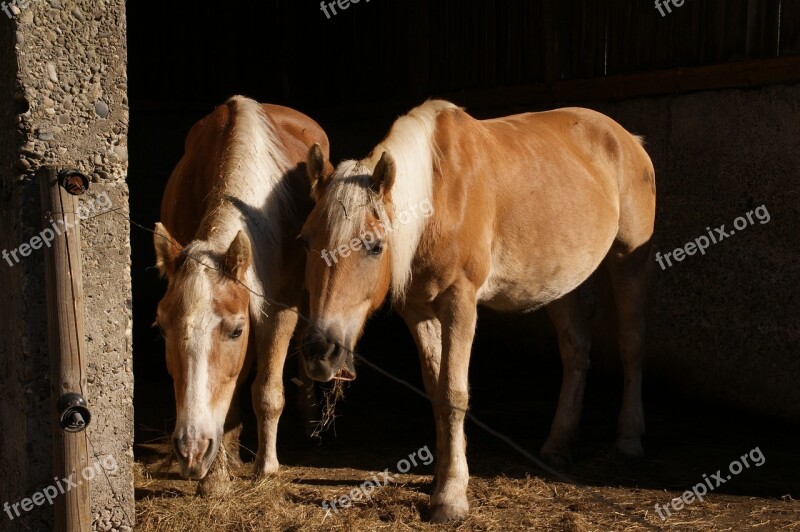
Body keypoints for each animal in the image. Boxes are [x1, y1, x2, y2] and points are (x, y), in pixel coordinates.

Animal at [153, 95, 332, 494]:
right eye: (163, 330)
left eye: (235, 331)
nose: (191, 449)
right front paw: (216, 476)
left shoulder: (279, 311)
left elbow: (267, 392)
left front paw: (267, 467)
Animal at [300, 101, 656, 524]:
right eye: (305, 241)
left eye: (373, 245)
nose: (321, 351)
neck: (435, 199)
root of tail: (627, 139)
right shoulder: (418, 310)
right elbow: (435, 389)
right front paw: (440, 476)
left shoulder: (460, 302)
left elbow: (454, 392)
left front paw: (451, 496)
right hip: (561, 282)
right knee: (575, 352)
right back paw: (558, 445)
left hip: (628, 259)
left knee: (631, 344)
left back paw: (630, 439)